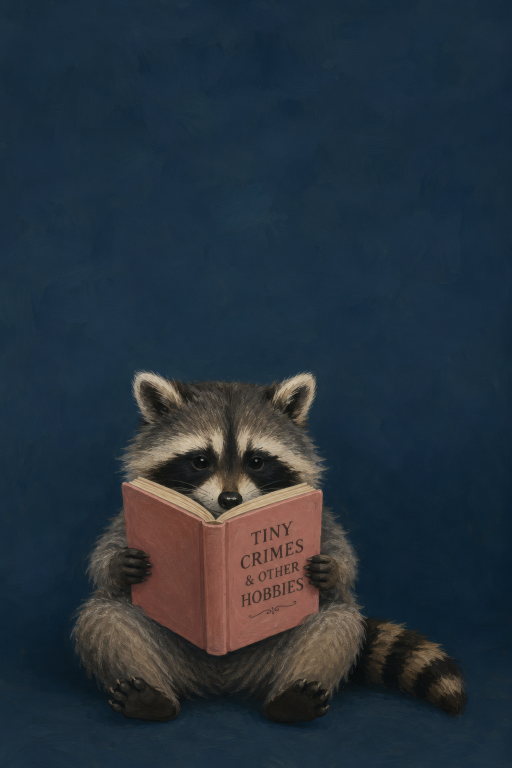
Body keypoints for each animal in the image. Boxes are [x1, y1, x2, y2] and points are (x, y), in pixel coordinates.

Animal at [72, 372, 467, 722]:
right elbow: (104, 559)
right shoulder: (128, 512)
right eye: (200, 461)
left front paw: (332, 569)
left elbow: (343, 559)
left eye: (256, 461)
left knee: (336, 622)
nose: (230, 499)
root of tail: (221, 683)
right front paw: (119, 563)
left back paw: (295, 697)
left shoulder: (318, 513)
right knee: (106, 617)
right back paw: (148, 696)